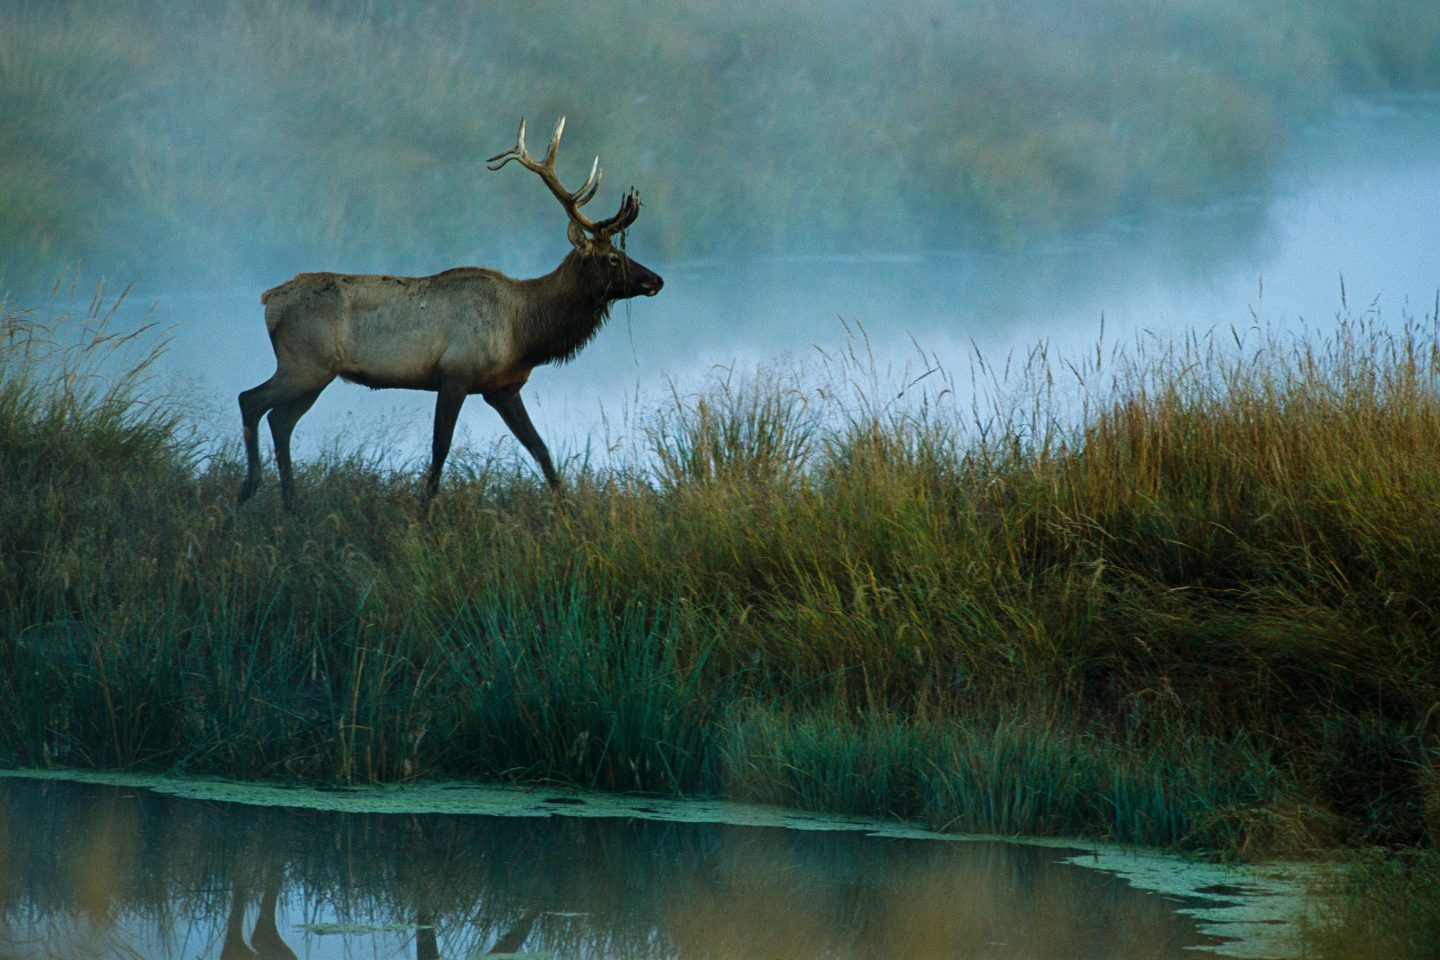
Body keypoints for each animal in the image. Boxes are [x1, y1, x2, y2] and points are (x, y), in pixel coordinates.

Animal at [237, 117, 662, 509]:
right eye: (612, 258)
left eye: (621, 252)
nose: (656, 280)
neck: (523, 333)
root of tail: (269, 301)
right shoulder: (455, 374)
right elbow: (439, 449)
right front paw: (425, 514)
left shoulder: (503, 388)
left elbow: (540, 448)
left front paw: (568, 509)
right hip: (304, 363)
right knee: (251, 400)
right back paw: (249, 490)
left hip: (316, 374)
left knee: (280, 420)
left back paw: (290, 503)